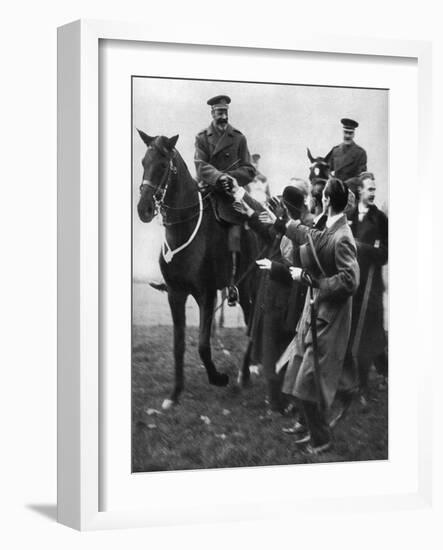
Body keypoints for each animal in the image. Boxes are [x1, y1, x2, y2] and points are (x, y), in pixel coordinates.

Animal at [137, 132, 258, 410]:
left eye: (163, 165)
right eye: (143, 162)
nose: (143, 209)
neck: (185, 227)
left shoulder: (207, 294)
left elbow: (203, 345)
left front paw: (218, 377)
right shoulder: (175, 294)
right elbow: (178, 345)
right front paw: (174, 394)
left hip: (249, 284)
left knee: (251, 323)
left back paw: (244, 376)